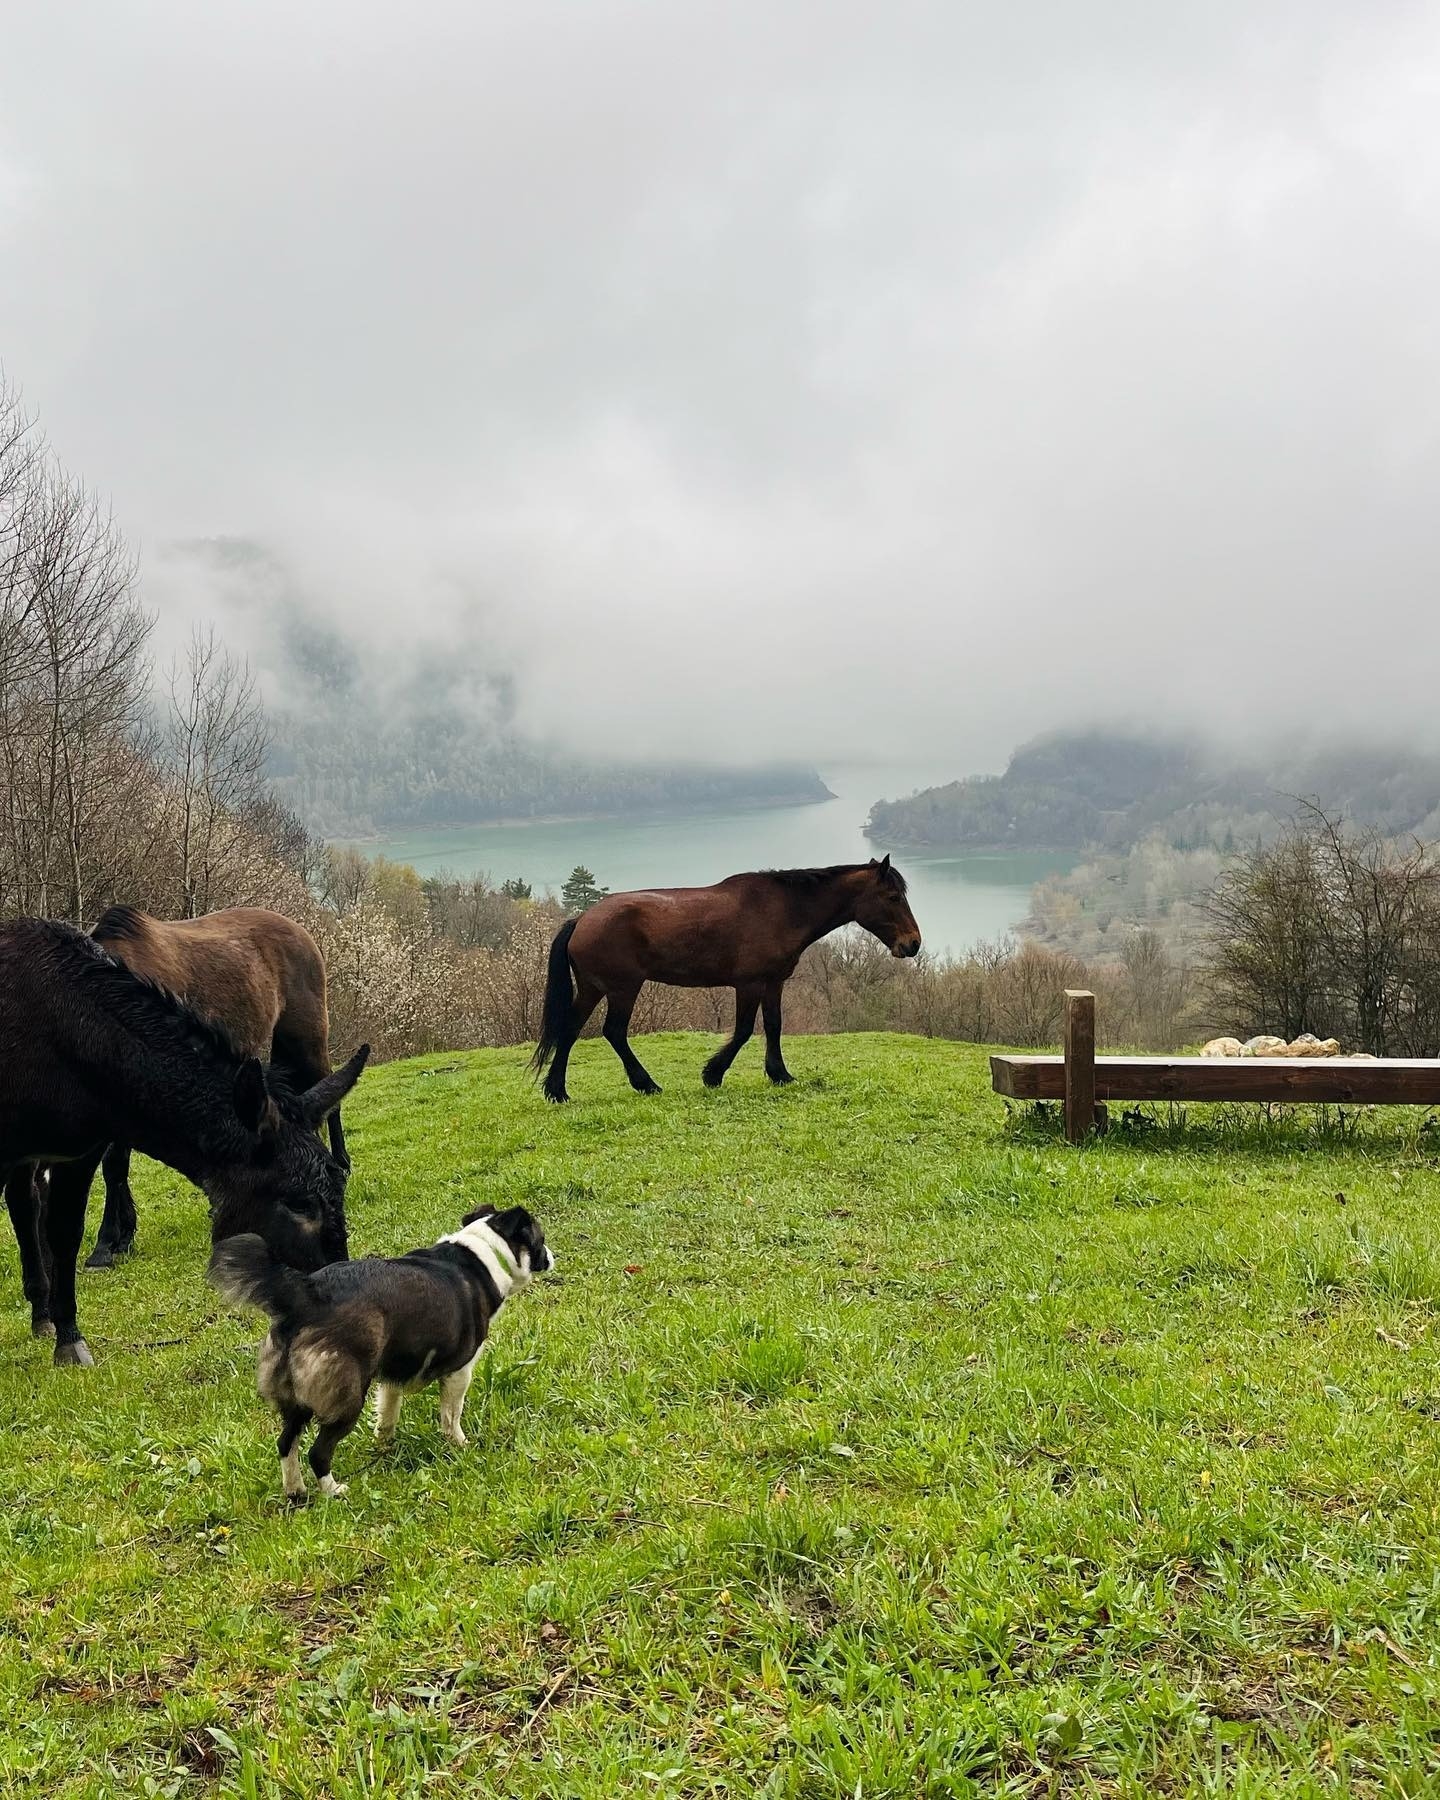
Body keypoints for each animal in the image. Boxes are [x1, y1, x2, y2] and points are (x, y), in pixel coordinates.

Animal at [81, 907, 343, 1274]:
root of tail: (300, 931)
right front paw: (121, 1236)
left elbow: (114, 1165)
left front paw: (106, 1245)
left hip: (308, 1036)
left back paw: (342, 1166)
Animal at [210, 1209, 554, 1504]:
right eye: (541, 1240)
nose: (552, 1257)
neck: (483, 1253)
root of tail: (304, 1295)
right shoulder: (459, 1371)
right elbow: (451, 1415)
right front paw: (459, 1444)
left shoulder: (394, 1372)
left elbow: (388, 1414)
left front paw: (385, 1446)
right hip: (346, 1396)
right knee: (318, 1452)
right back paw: (333, 1490)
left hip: (296, 1397)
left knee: (286, 1442)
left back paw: (295, 1490)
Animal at [529, 853, 921, 1094]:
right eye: (892, 897)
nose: (913, 943)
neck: (782, 909)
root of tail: (582, 919)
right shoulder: (748, 984)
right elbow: (745, 1030)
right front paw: (713, 1073)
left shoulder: (773, 982)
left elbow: (774, 1025)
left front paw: (779, 1073)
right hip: (623, 988)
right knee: (613, 1031)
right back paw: (645, 1084)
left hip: (593, 988)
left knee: (570, 1029)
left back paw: (557, 1090)